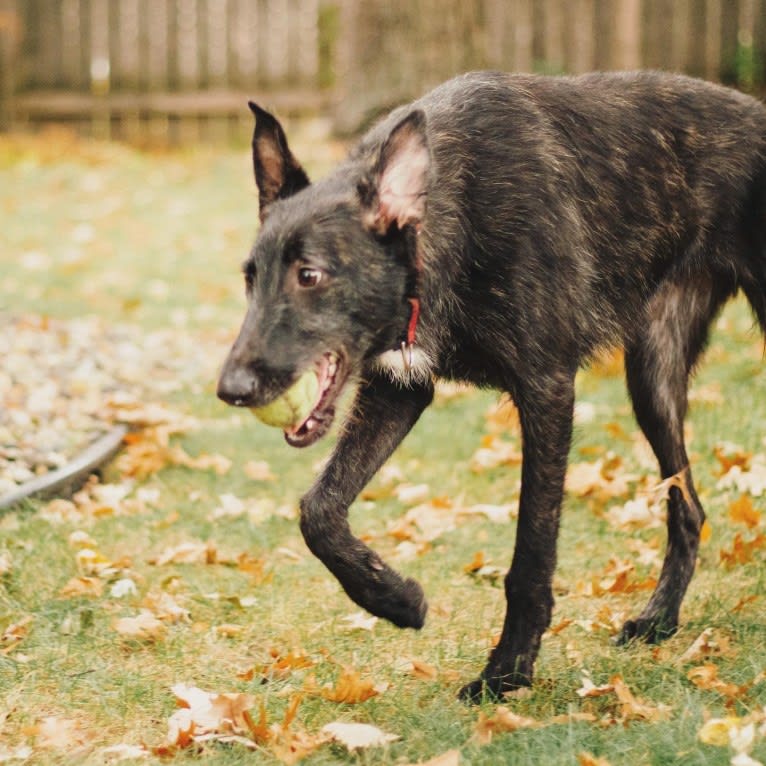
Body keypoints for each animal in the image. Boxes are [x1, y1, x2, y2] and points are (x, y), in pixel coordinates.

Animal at [216, 72, 766, 704]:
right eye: (250, 278)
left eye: (310, 275)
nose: (230, 389)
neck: (445, 218)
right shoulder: (399, 390)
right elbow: (318, 511)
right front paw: (394, 599)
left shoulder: (547, 392)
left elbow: (531, 553)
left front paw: (508, 670)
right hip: (653, 376)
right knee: (688, 508)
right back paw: (659, 620)